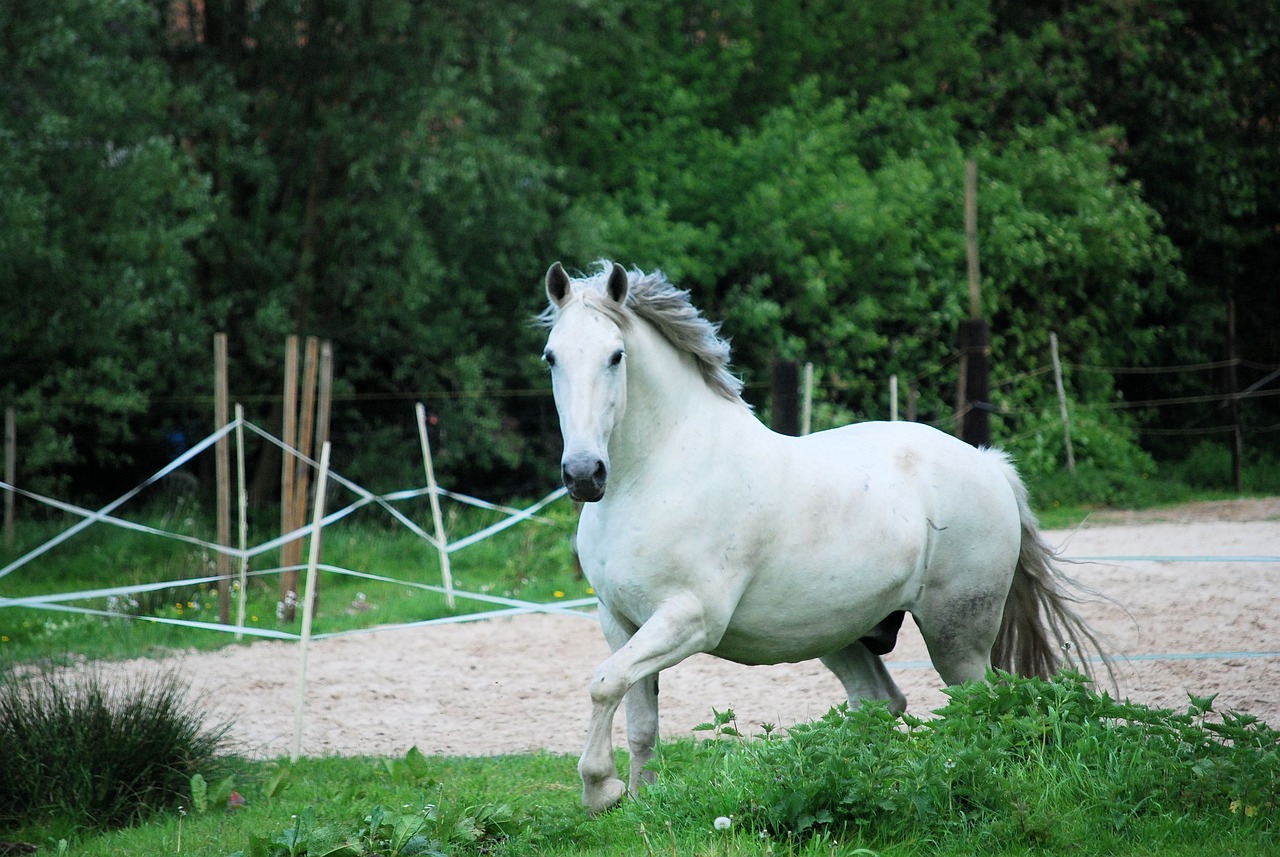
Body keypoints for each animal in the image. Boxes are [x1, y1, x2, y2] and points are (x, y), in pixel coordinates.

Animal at [535, 263, 1105, 818]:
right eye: (551, 357)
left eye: (616, 355)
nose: (583, 474)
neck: (656, 474)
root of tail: (988, 464)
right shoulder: (620, 621)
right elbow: (638, 717)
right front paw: (639, 802)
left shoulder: (690, 618)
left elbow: (604, 684)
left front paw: (600, 789)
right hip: (842, 634)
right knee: (879, 702)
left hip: (958, 635)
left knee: (977, 706)